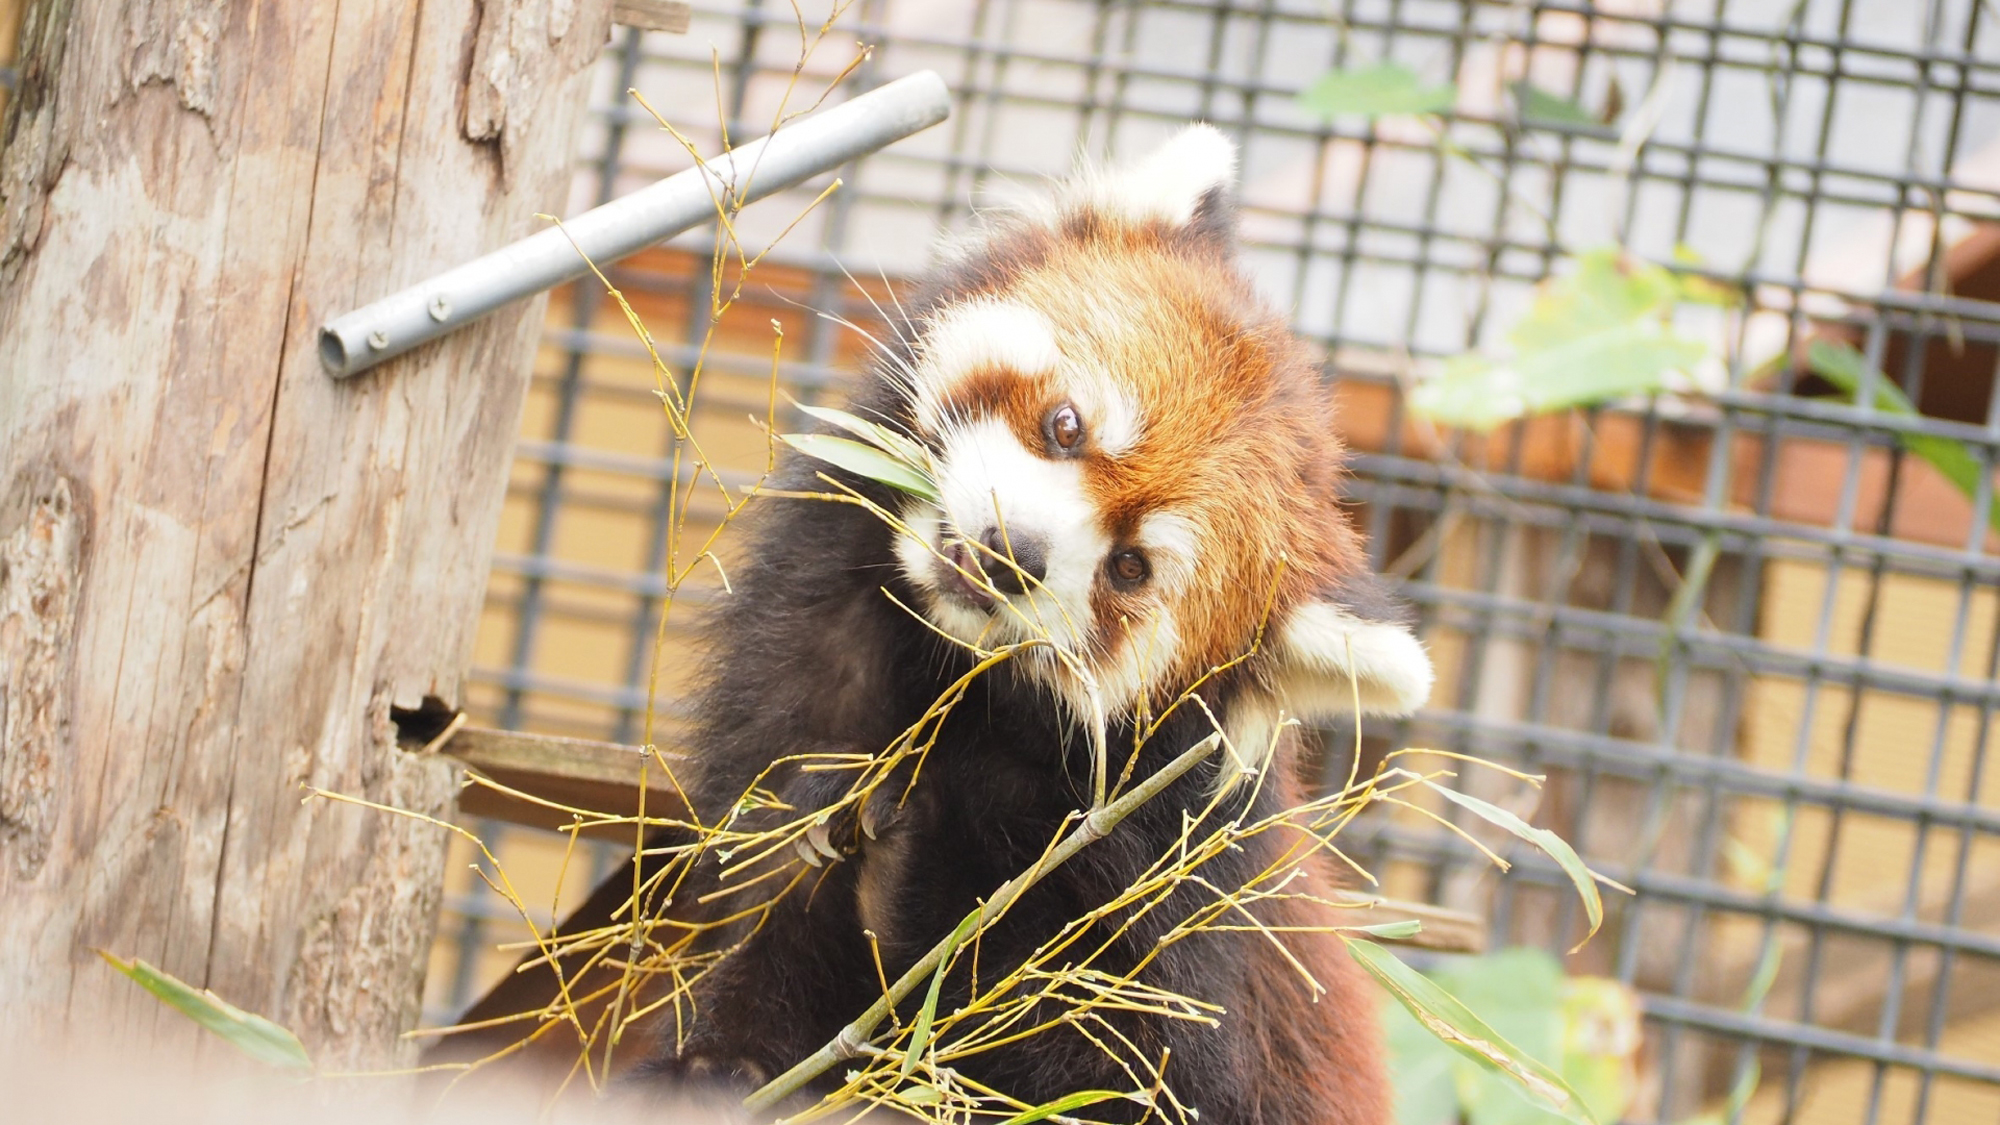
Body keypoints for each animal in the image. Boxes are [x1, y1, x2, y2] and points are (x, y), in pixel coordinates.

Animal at [632, 124, 1432, 1120]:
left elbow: (1093, 1056)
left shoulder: (1155, 901)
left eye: (1131, 566)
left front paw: (910, 877)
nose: (1016, 550)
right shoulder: (804, 691)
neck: (954, 679)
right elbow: (766, 898)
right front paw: (714, 1059)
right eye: (1065, 425)